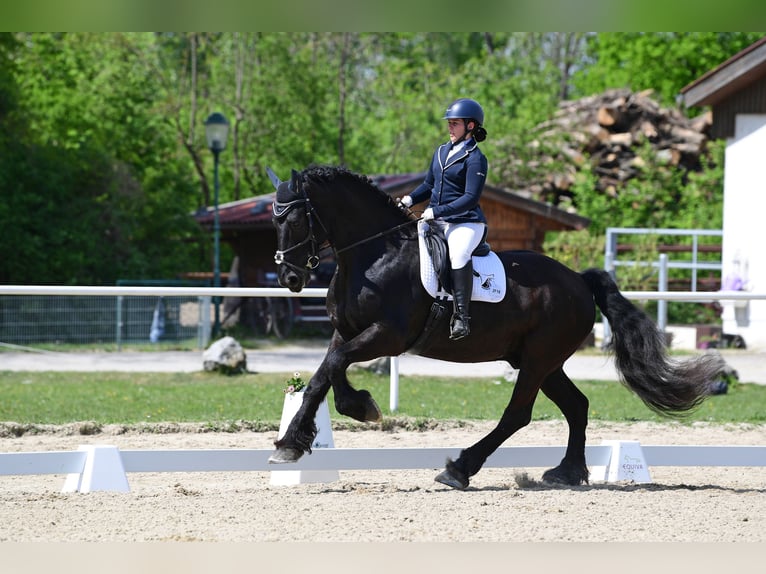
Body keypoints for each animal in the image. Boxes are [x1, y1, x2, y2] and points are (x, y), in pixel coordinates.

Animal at [266, 164, 725, 489]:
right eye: (275, 221)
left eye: (298, 219)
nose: (290, 277)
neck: (373, 255)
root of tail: (578, 280)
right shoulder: (346, 332)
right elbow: (323, 376)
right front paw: (296, 441)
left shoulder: (387, 335)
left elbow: (334, 367)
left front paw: (352, 411)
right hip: (542, 361)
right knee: (577, 406)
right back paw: (566, 472)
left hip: (538, 359)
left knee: (518, 413)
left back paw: (459, 469)